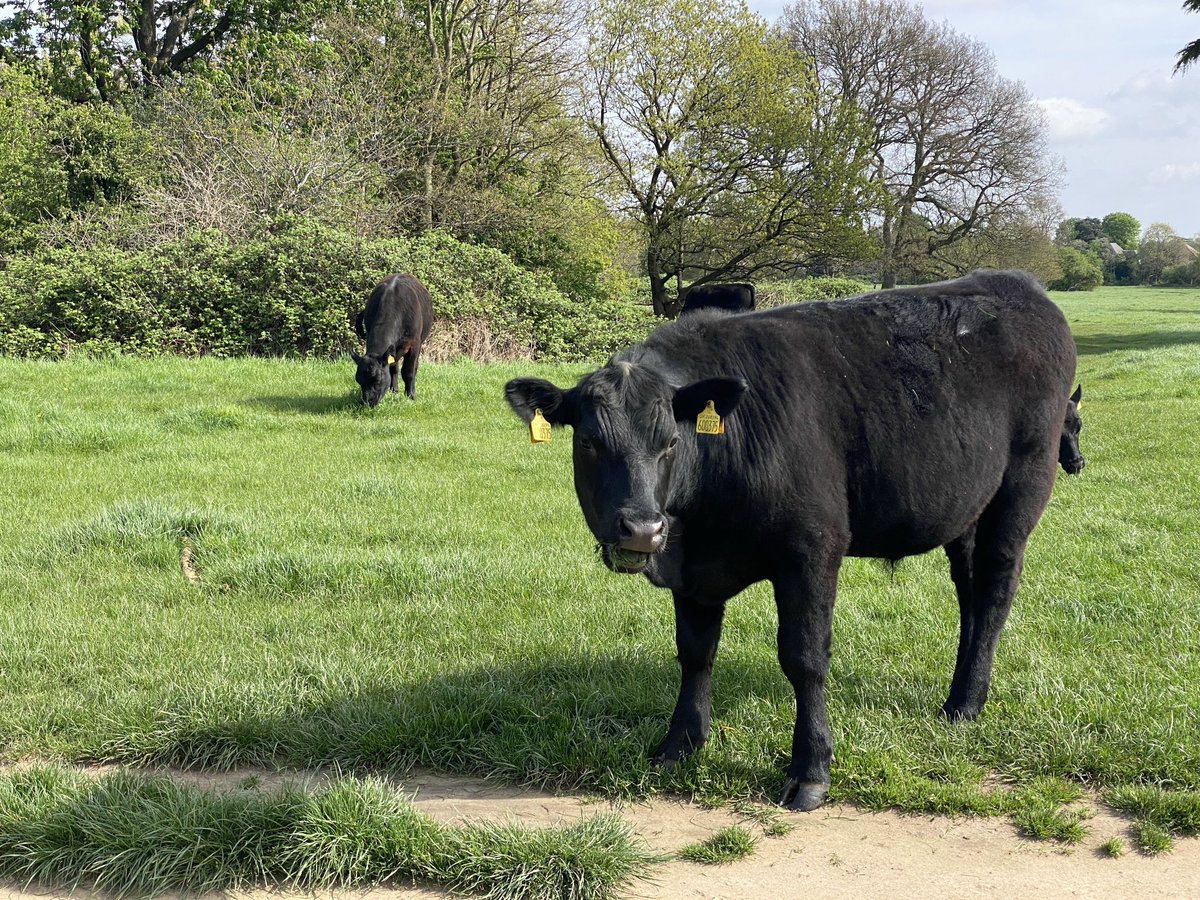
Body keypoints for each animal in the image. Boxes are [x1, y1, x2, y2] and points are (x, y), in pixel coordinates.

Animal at [350, 271, 436, 405]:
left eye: (377, 379)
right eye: (358, 380)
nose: (368, 402)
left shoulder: (414, 344)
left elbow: (408, 371)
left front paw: (411, 395)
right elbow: (393, 368)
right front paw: (394, 391)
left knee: (414, 367)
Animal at [506, 271, 1080, 816]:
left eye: (670, 441)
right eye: (588, 442)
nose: (643, 530)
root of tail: (1019, 286)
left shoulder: (812, 549)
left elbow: (804, 657)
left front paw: (811, 769)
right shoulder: (690, 570)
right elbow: (695, 654)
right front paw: (679, 746)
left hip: (1022, 488)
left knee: (996, 590)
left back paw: (965, 705)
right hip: (965, 511)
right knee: (970, 594)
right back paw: (958, 696)